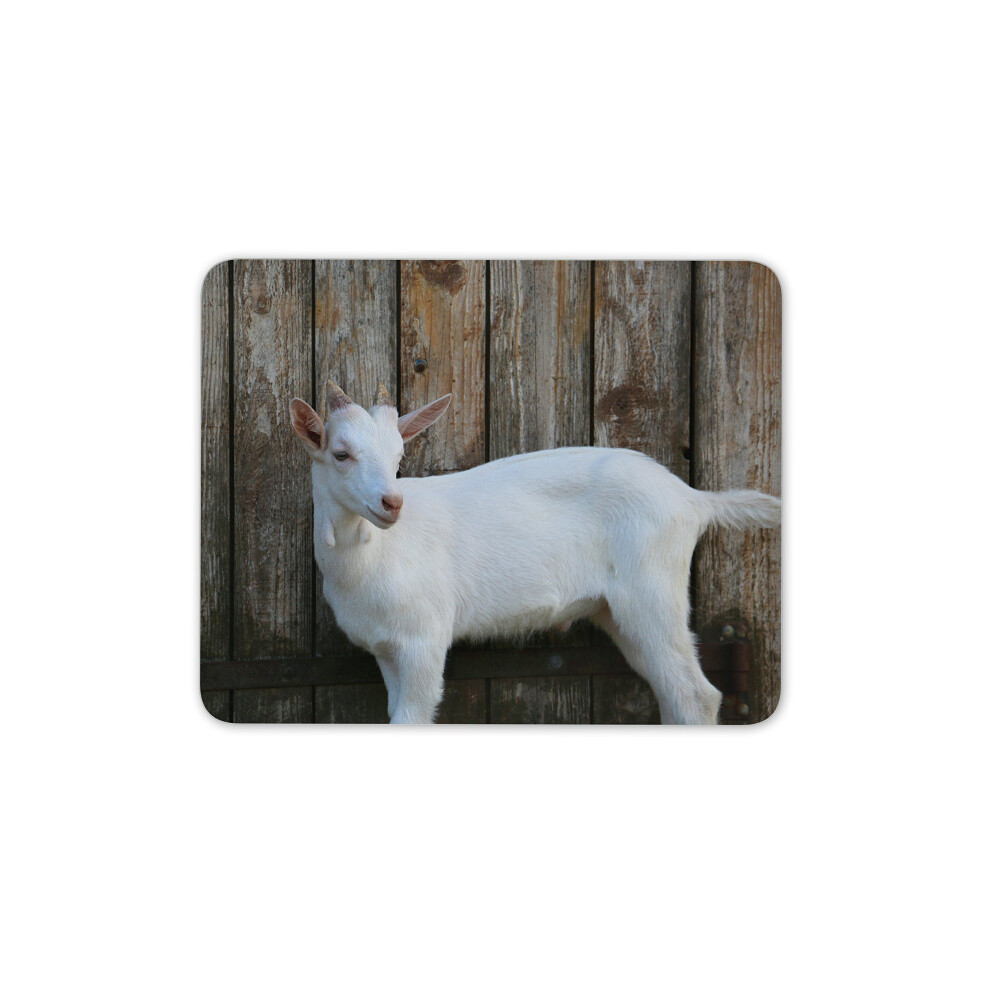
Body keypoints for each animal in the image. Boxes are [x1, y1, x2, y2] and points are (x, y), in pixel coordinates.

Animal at [290, 380, 780, 725]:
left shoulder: (423, 640)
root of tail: (692, 499)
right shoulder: (386, 649)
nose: (391, 503)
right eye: (341, 454)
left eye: (398, 456)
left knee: (698, 696)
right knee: (671, 690)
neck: (370, 556)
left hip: (653, 593)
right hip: (620, 613)